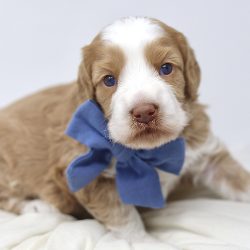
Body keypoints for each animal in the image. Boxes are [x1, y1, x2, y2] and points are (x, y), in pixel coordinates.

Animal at [0, 17, 250, 240]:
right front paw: (147, 242)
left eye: (166, 68)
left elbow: (235, 176)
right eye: (109, 80)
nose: (144, 111)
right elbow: (125, 219)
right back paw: (37, 207)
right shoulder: (86, 174)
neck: (148, 152)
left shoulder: (205, 151)